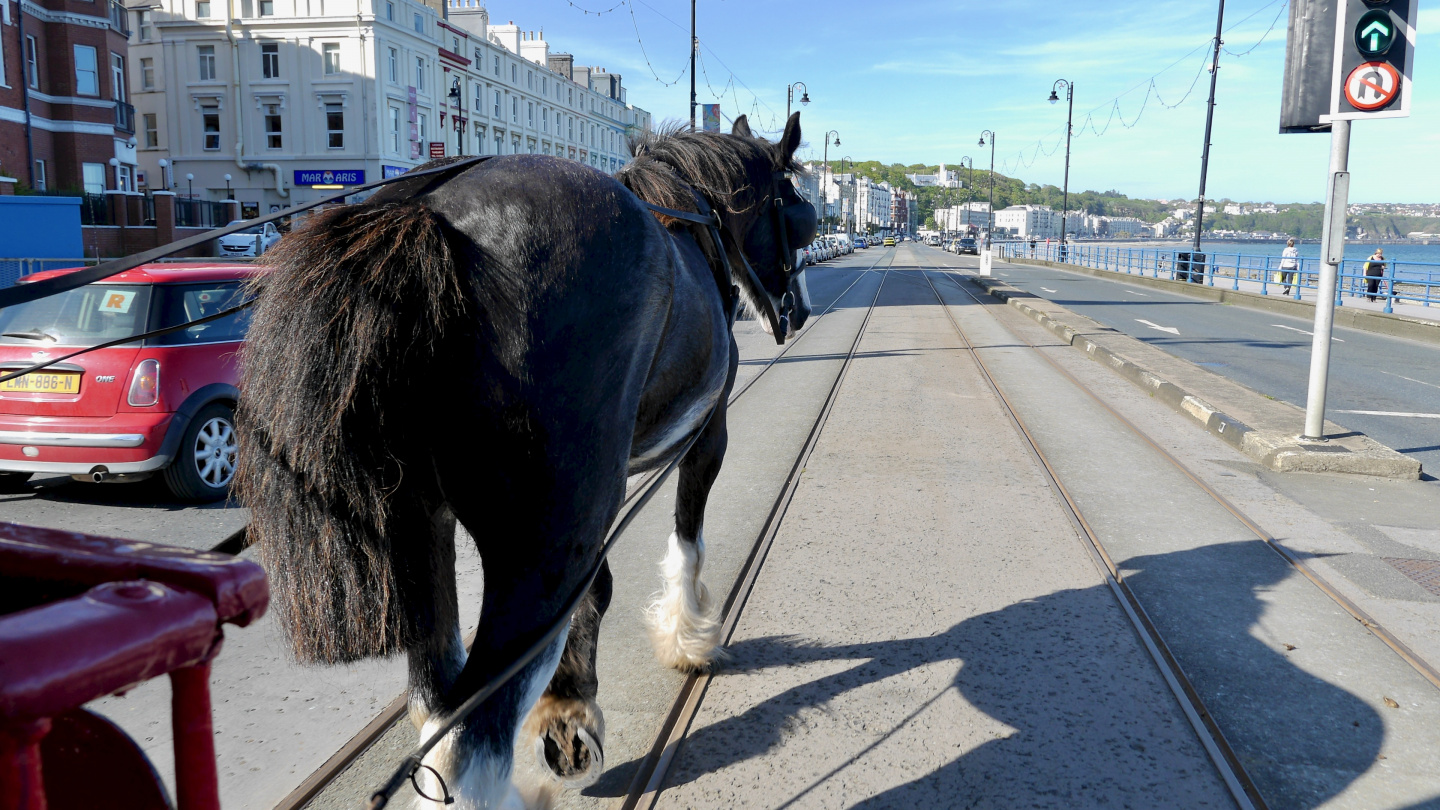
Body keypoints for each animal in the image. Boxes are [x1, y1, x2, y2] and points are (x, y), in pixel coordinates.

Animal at [241, 111, 817, 801]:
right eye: (802, 215)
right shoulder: (705, 434)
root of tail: (425, 211)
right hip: (545, 540)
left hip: (423, 525)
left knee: (436, 705)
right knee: (473, 736)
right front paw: (687, 640)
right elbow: (687, 540)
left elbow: (596, 590)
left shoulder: (600, 490)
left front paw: (568, 710)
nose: (800, 311)